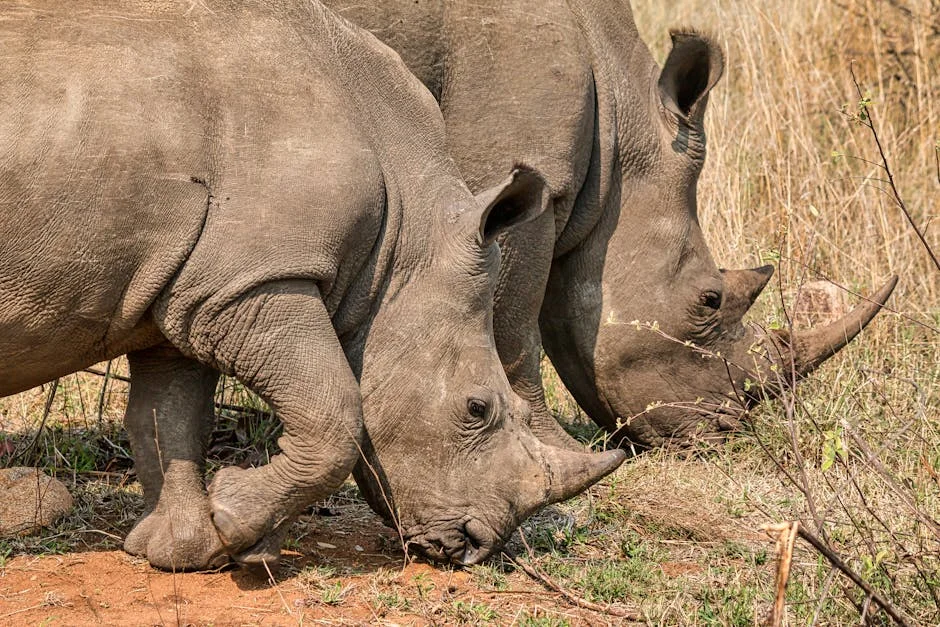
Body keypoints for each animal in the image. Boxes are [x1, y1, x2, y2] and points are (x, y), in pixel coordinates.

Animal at [0, 0, 625, 570]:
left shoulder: (191, 286)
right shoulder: (255, 280)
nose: (473, 546)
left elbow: (170, 417)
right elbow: (335, 413)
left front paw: (188, 548)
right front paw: (233, 524)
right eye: (476, 408)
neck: (405, 244)